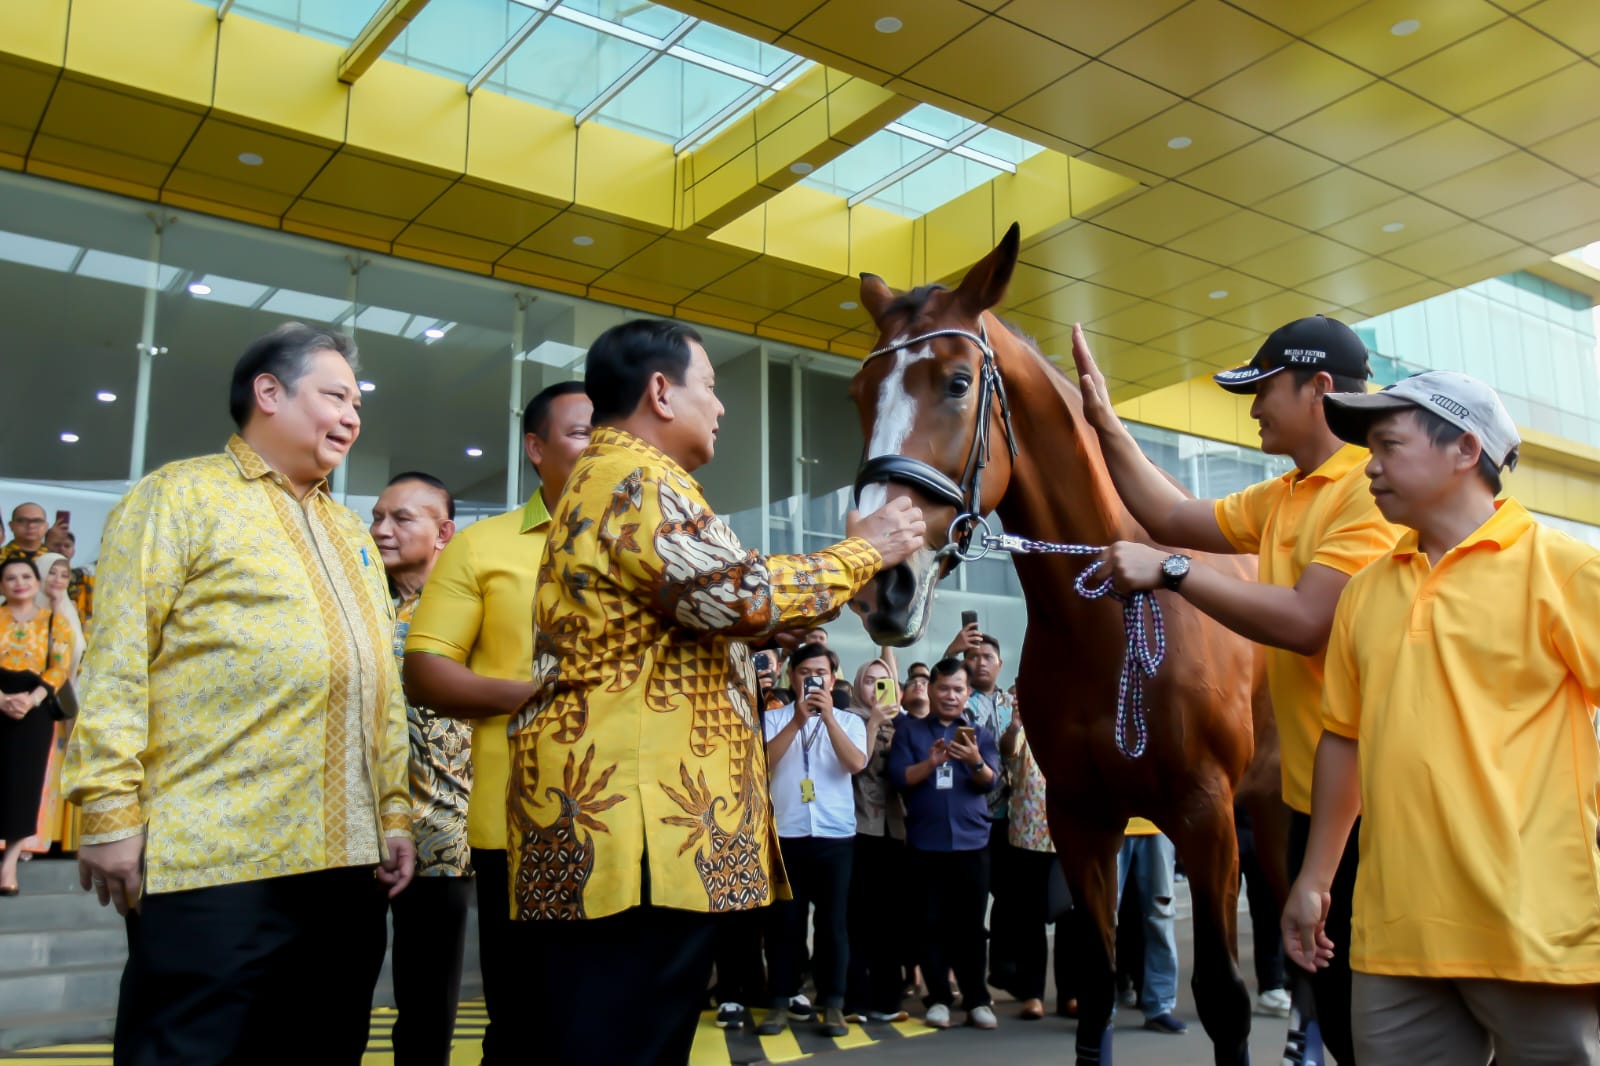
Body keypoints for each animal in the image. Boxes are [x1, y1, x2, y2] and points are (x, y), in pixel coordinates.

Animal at [857, 219, 1267, 1056]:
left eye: (957, 382)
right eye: (858, 393)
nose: (886, 582)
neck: (1109, 623)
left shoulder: (1207, 815)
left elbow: (1222, 996)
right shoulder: (1082, 817)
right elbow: (1099, 988)